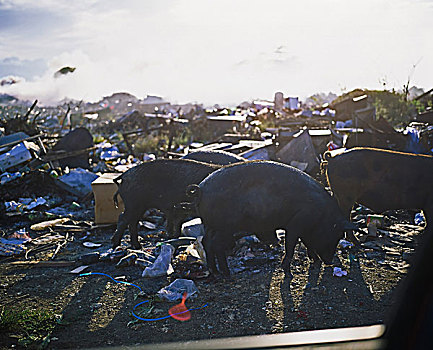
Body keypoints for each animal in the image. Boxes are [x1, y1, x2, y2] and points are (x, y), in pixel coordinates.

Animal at [187, 160, 352, 278]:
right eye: (336, 234)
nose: (329, 262)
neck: (322, 215)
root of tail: (201, 189)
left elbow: (308, 243)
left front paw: (315, 262)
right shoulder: (295, 224)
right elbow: (291, 245)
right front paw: (287, 271)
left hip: (209, 224)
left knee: (206, 242)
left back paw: (215, 273)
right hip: (225, 226)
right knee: (217, 245)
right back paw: (227, 274)